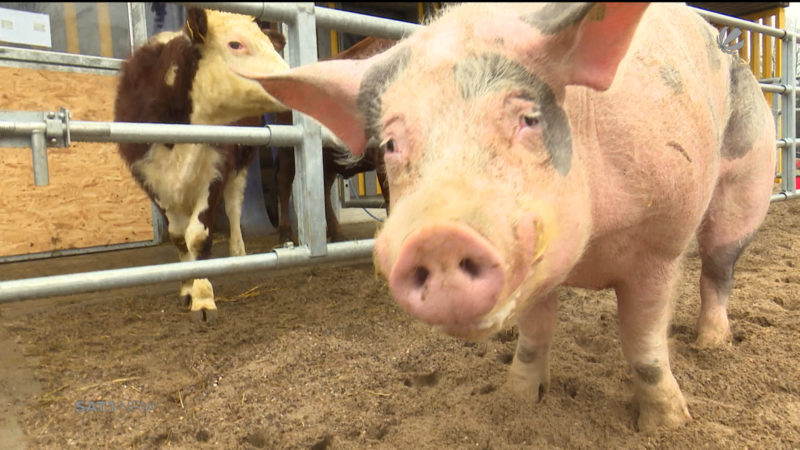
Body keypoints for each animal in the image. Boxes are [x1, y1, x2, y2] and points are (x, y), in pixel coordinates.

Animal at [112, 8, 288, 322]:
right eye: (235, 44)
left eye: (270, 44)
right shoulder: (151, 179)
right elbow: (178, 237)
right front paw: (187, 287)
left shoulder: (216, 170)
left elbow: (198, 236)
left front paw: (203, 297)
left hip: (242, 163)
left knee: (234, 207)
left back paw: (238, 253)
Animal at [234, 2, 780, 432]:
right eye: (390, 143)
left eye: (529, 118)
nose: (438, 236)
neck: (590, 248)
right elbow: (535, 334)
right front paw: (515, 401)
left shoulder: (660, 241)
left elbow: (643, 344)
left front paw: (667, 425)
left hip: (748, 178)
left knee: (719, 266)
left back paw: (713, 344)